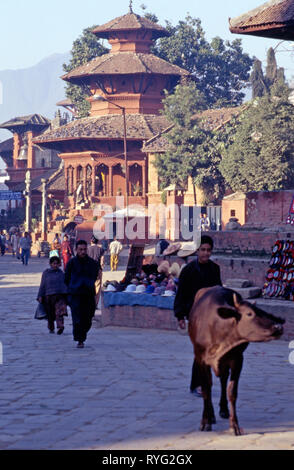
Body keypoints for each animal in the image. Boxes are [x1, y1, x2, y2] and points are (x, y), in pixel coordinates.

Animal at [188, 284, 284, 436]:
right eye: (249, 313)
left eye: (262, 311)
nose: (278, 327)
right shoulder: (200, 358)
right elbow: (206, 389)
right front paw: (206, 421)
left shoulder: (237, 359)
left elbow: (231, 391)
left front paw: (234, 425)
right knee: (210, 384)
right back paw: (212, 415)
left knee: (223, 380)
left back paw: (223, 410)